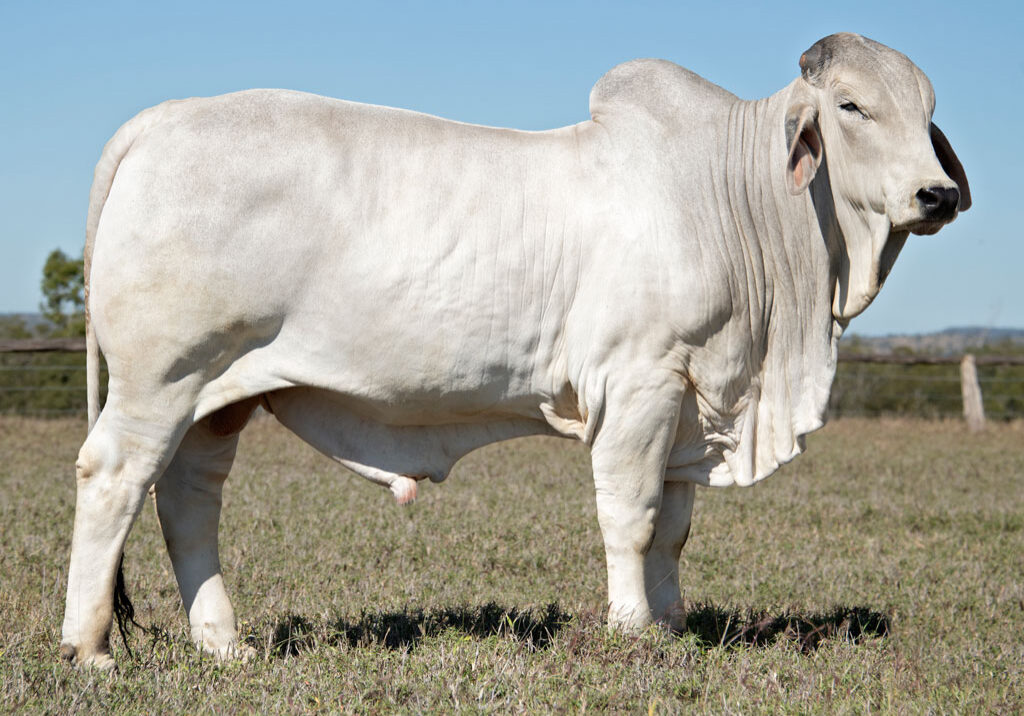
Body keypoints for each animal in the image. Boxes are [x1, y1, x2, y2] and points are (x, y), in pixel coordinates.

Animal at [61, 33, 969, 668]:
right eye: (851, 107)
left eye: (928, 110)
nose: (936, 194)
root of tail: (163, 120)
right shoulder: (639, 382)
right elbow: (632, 518)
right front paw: (633, 631)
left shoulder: (690, 396)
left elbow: (674, 530)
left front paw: (672, 626)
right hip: (161, 378)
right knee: (115, 479)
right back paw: (90, 650)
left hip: (220, 395)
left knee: (188, 500)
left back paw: (224, 644)